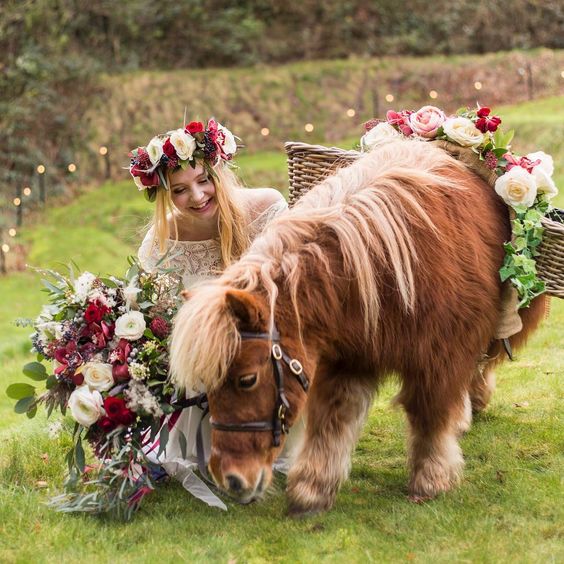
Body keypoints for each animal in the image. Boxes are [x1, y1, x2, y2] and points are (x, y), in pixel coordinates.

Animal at [169, 138, 548, 516]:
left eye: (247, 379)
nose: (231, 480)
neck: (386, 268)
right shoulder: (349, 356)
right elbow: (332, 419)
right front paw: (312, 488)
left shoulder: (440, 356)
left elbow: (429, 413)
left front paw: (432, 480)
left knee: (484, 363)